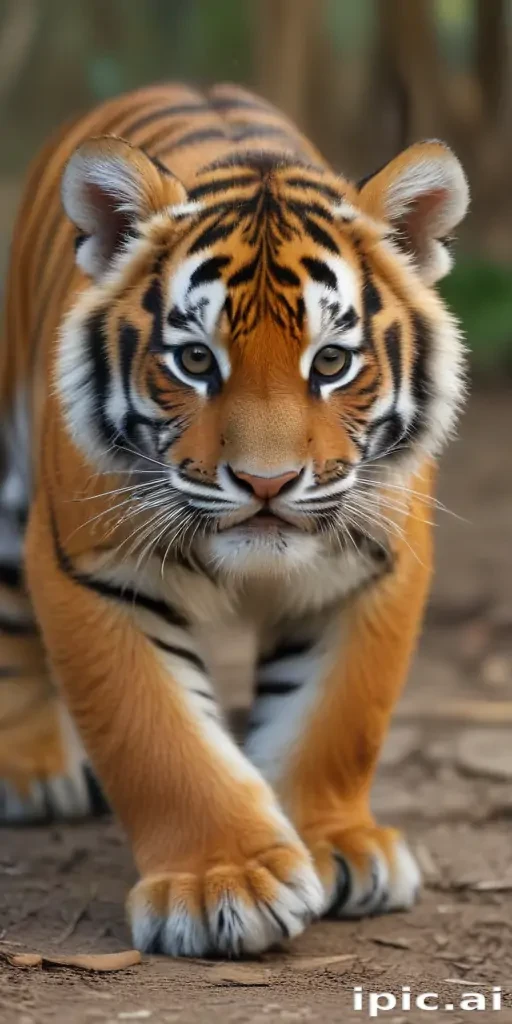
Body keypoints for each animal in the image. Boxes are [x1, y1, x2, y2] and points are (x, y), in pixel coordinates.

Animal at [0, 82, 468, 956]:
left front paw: (336, 848)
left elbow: (335, 721)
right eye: (195, 361)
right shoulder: (93, 570)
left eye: (330, 362)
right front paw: (222, 884)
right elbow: (158, 736)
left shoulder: (375, 564)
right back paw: (32, 771)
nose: (266, 482)